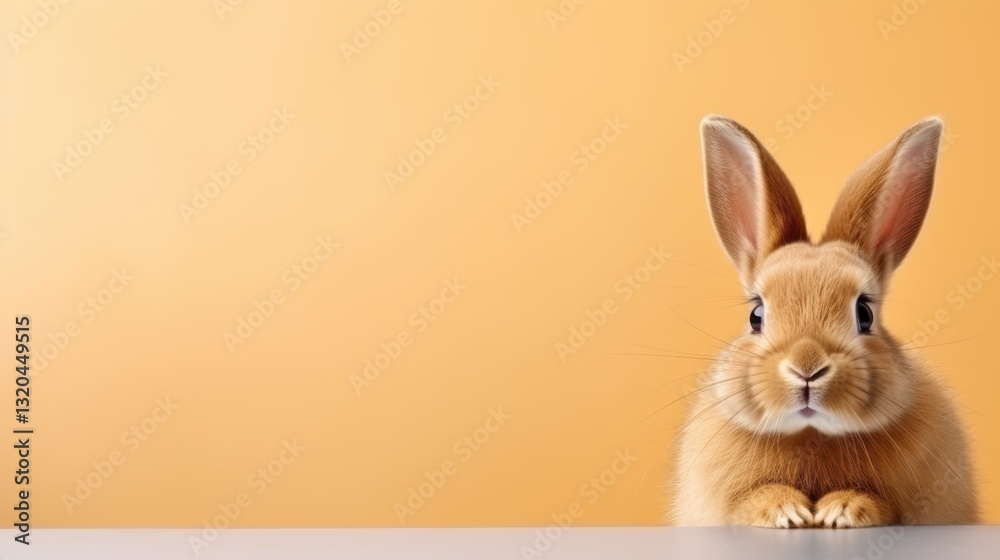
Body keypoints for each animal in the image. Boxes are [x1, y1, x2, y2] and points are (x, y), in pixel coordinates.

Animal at [670, 115, 979, 528]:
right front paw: (786, 512)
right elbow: (749, 500)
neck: (810, 433)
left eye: (864, 313)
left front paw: (842, 510)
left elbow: (883, 505)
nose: (807, 368)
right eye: (756, 315)